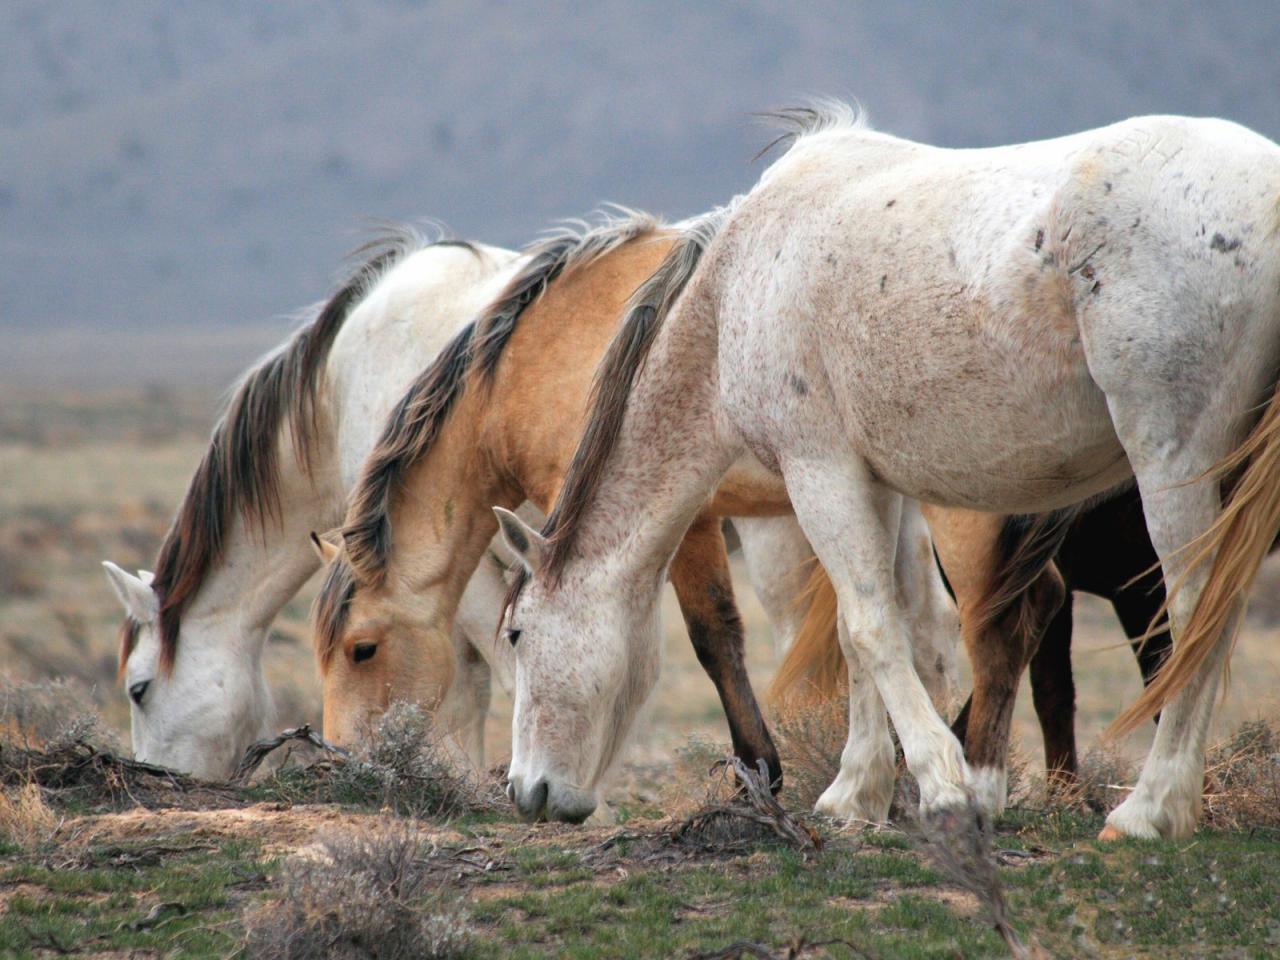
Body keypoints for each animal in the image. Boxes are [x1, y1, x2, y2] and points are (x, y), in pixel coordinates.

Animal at [494, 106, 1280, 839]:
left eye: (518, 634)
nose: (525, 791)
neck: (737, 285)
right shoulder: (881, 487)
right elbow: (874, 626)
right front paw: (858, 794)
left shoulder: (819, 472)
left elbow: (872, 627)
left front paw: (943, 786)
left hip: (1171, 459)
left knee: (1194, 612)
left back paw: (1149, 810)